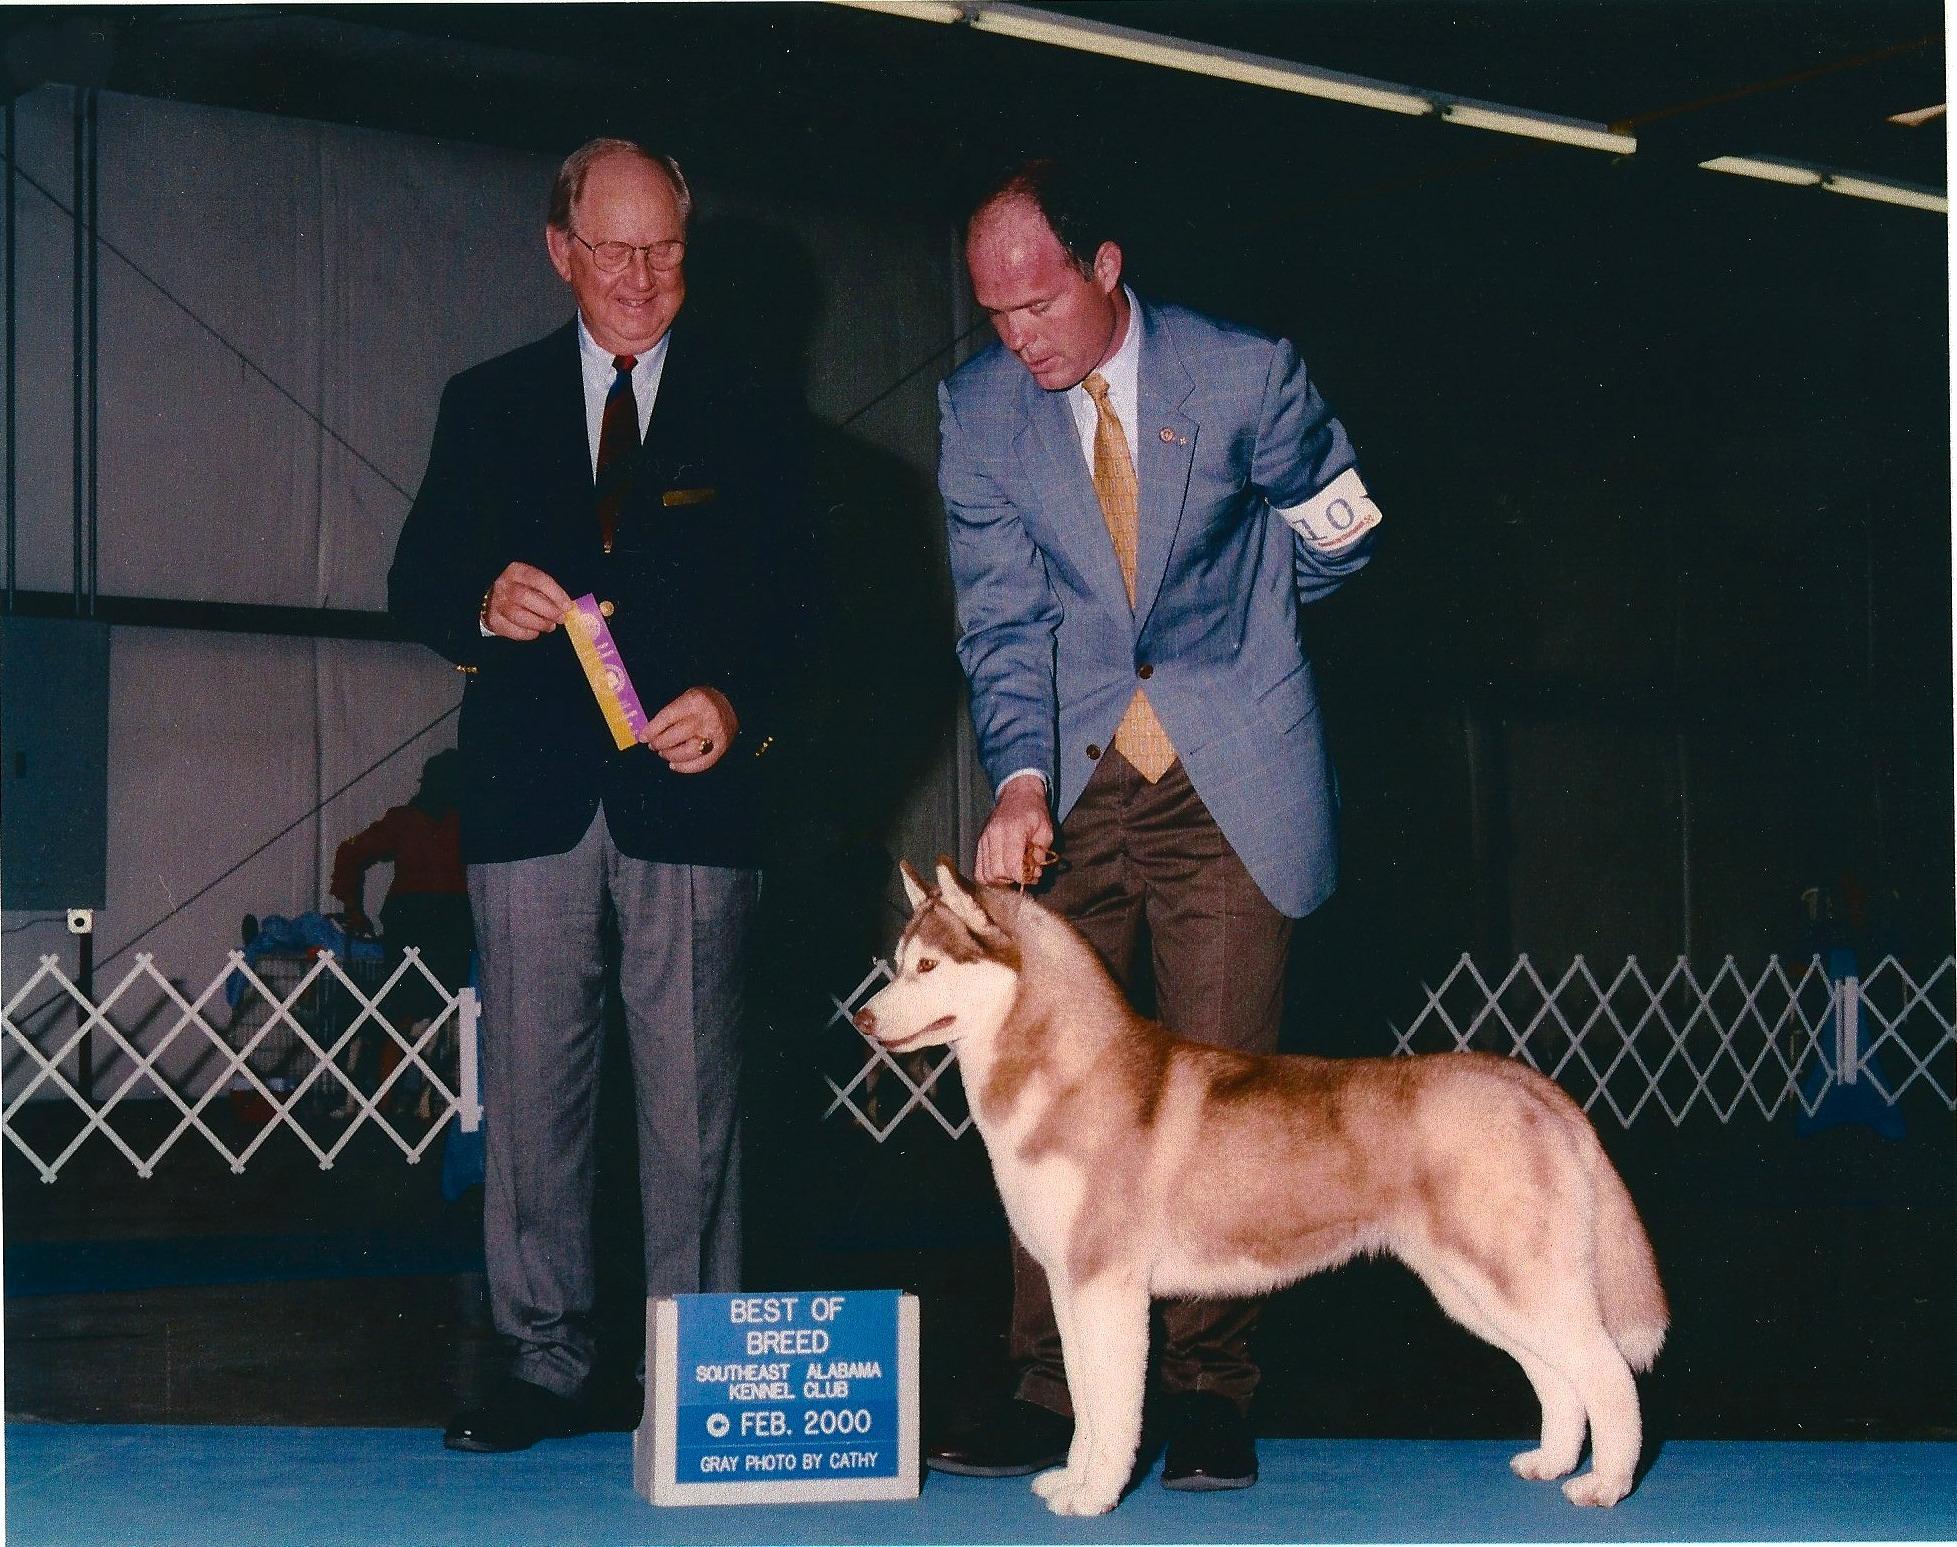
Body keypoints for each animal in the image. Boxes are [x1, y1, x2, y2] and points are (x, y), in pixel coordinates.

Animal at [853, 860, 1668, 1518]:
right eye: (896, 963)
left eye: (927, 965)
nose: (860, 1017)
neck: (1064, 1073)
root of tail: (1531, 1083)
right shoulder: (1069, 1282)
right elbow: (1082, 1395)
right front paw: (1073, 1478)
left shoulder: (1106, 1284)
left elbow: (1113, 1406)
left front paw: (1093, 1497)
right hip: (1472, 1287)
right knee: (1556, 1372)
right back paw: (1553, 1461)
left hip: (1516, 1275)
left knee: (1606, 1371)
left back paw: (1605, 1484)